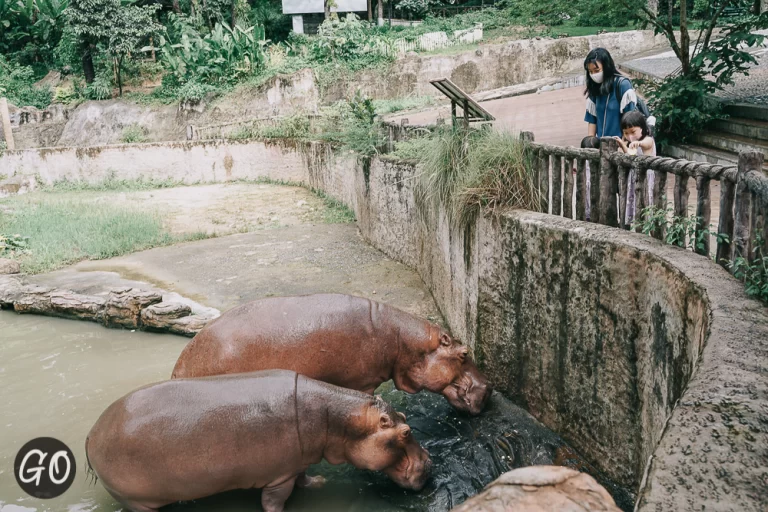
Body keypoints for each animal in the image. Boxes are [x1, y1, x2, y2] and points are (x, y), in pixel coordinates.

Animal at [88, 370, 432, 510]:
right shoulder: (280, 476)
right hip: (133, 498)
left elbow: (305, 476)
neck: (334, 418)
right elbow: (273, 501)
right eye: (405, 432)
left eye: (405, 416)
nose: (430, 462)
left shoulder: (299, 461)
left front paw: (319, 483)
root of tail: (91, 434)